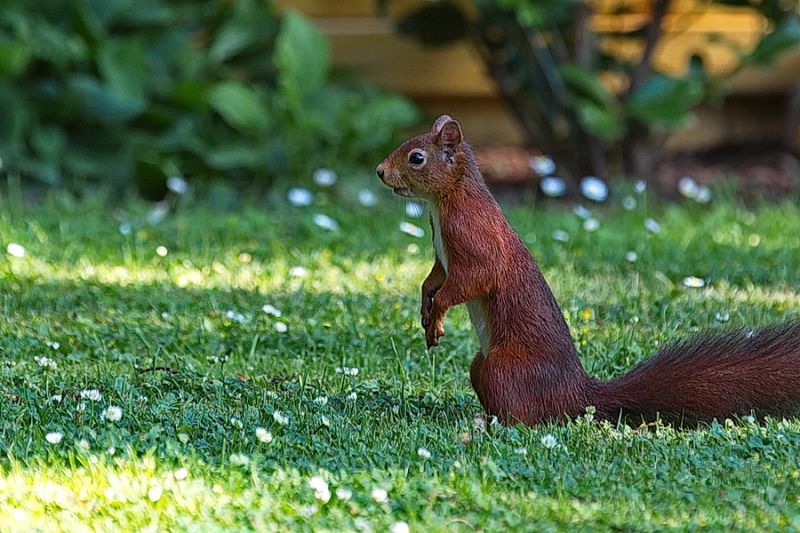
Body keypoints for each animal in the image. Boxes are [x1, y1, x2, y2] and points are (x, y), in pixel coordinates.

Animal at [376, 114, 800, 427]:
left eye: (416, 157)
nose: (380, 171)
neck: (444, 202)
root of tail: (577, 395)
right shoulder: (441, 257)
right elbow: (433, 277)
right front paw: (425, 305)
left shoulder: (477, 240)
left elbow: (471, 280)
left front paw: (438, 315)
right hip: (481, 366)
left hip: (503, 368)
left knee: (527, 419)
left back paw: (485, 425)